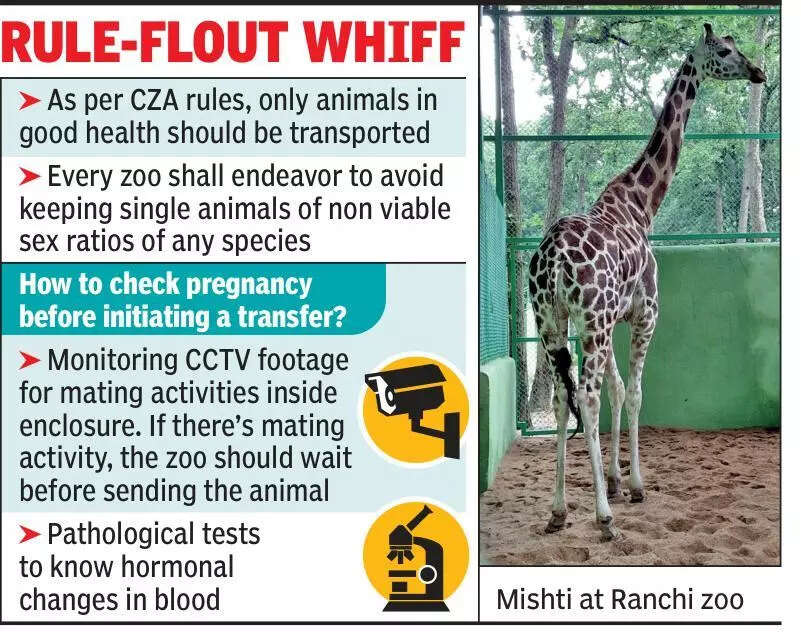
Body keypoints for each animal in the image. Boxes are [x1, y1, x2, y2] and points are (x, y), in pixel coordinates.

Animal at [528, 23, 766, 541]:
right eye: (725, 51)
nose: (758, 71)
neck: (642, 204)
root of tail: (551, 260)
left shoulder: (614, 318)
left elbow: (619, 389)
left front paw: (618, 480)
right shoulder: (645, 314)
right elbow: (635, 392)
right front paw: (634, 486)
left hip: (551, 321)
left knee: (561, 399)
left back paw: (558, 511)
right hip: (589, 322)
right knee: (587, 398)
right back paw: (603, 518)